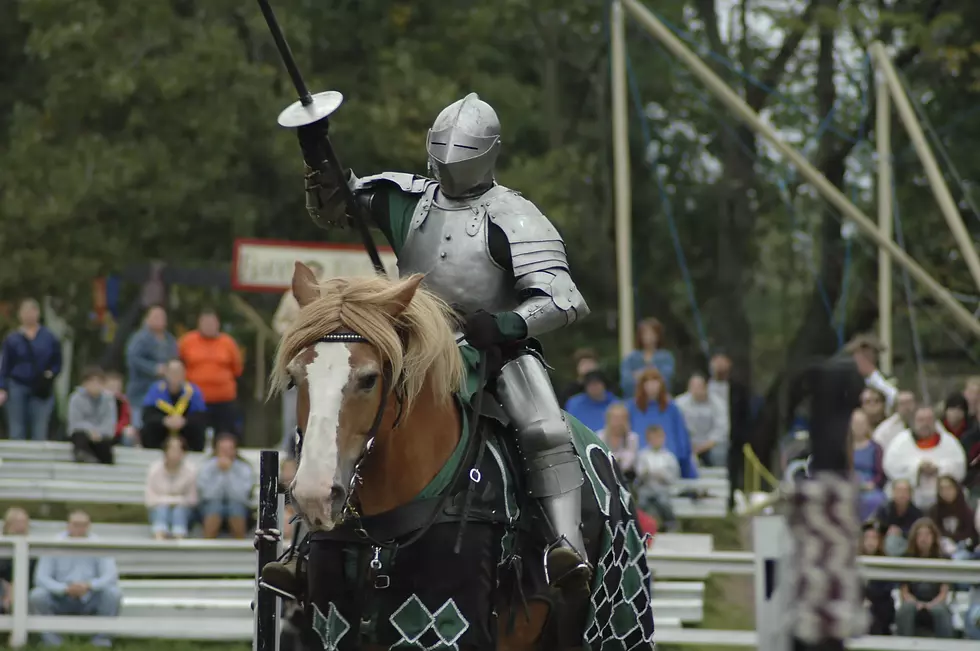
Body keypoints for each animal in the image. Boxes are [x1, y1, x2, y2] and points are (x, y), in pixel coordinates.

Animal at [272, 264, 656, 651]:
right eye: (295, 376)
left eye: (368, 379)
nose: (315, 495)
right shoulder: (332, 629)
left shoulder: (447, 629)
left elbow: (557, 293)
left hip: (616, 622)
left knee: (544, 432)